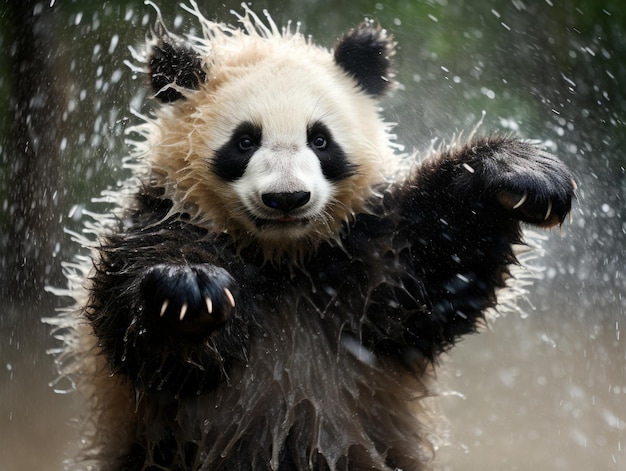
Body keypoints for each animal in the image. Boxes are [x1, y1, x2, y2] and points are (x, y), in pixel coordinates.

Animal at [54, 3, 576, 471]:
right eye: (245, 141)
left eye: (320, 140)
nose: (287, 198)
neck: (284, 259)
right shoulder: (165, 214)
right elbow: (145, 340)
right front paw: (188, 290)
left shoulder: (357, 254)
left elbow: (427, 273)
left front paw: (520, 174)